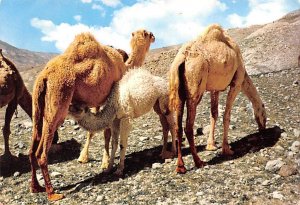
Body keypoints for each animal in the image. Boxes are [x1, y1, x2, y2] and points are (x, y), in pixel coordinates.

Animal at [29, 28, 155, 200]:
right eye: (148, 33)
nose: (154, 36)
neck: (124, 66)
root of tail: (44, 76)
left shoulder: (98, 101)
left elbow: (96, 131)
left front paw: (91, 159)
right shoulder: (111, 97)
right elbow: (106, 133)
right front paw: (105, 163)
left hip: (37, 104)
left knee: (32, 147)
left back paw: (36, 187)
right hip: (59, 100)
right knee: (42, 152)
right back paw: (52, 193)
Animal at [169, 24, 268, 175]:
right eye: (264, 114)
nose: (263, 128)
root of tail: (182, 58)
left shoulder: (214, 89)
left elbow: (214, 113)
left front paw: (211, 145)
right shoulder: (237, 82)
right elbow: (226, 115)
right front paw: (227, 149)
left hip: (178, 91)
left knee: (178, 127)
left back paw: (180, 166)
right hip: (195, 87)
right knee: (188, 126)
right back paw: (198, 162)